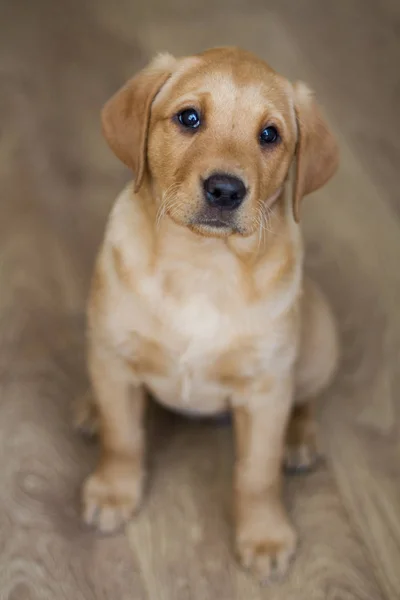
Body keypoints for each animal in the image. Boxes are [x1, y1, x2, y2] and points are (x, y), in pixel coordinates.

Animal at [79, 47, 340, 580]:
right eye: (189, 118)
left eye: (270, 135)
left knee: (305, 398)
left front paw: (264, 535)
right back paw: (93, 408)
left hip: (319, 341)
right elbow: (123, 437)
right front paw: (114, 490)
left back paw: (298, 438)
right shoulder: (114, 353)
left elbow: (258, 474)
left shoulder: (265, 390)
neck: (203, 263)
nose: (225, 190)